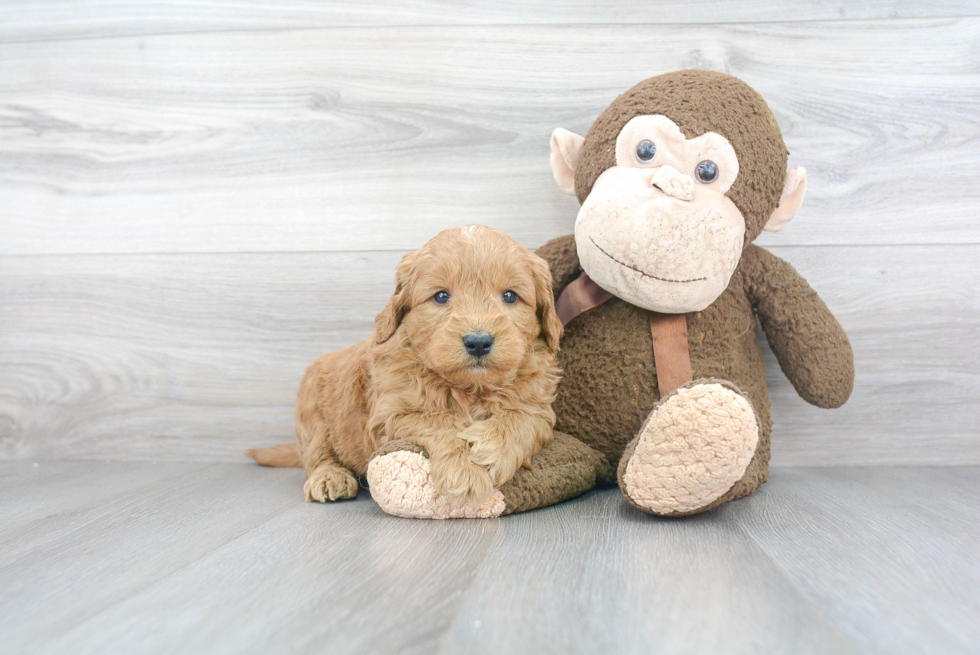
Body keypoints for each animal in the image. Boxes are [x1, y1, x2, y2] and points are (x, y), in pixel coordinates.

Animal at [249, 226, 564, 508]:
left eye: (510, 296)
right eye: (441, 296)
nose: (478, 342)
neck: (470, 388)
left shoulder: (539, 405)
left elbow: (525, 418)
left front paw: (493, 446)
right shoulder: (390, 413)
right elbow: (437, 420)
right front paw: (464, 470)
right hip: (313, 411)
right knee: (317, 454)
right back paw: (329, 478)